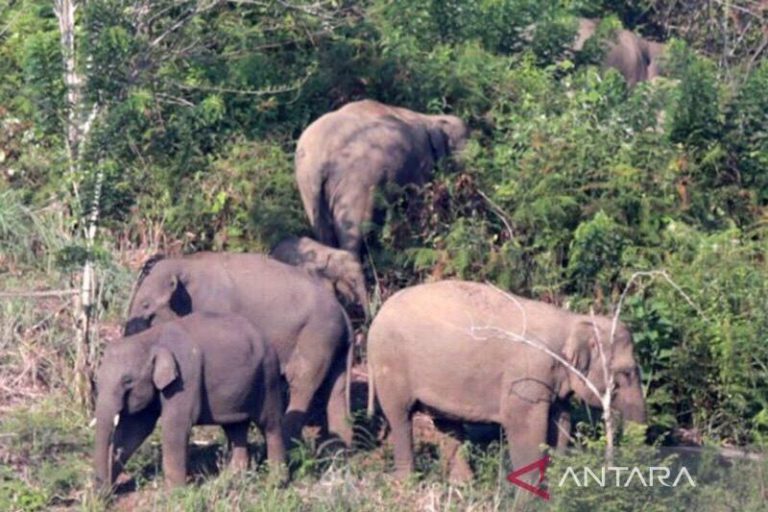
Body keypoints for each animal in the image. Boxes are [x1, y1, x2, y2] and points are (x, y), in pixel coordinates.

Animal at [92, 312, 284, 492]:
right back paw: (230, 480)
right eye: (97, 379)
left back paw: (276, 483)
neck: (151, 338)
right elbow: (134, 429)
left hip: (268, 377)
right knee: (235, 428)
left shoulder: (185, 378)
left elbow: (175, 426)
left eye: (127, 380)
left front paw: (175, 494)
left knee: (270, 425)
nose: (103, 493)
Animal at [124, 252, 356, 448]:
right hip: (333, 344)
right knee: (336, 390)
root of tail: (345, 314)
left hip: (316, 337)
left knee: (301, 383)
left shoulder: (215, 307)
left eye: (145, 305)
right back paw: (339, 451)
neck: (185, 264)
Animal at [294, 99, 468, 255]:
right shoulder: (420, 163)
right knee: (354, 229)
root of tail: (319, 160)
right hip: (355, 183)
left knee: (322, 230)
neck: (430, 118)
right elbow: (419, 200)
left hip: (308, 187)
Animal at [368, 282, 644, 482]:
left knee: (447, 423)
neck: (572, 321)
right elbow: (524, 427)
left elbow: (561, 423)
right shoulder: (526, 375)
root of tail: (376, 316)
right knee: (400, 418)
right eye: (627, 373)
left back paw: (463, 485)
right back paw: (406, 484)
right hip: (389, 365)